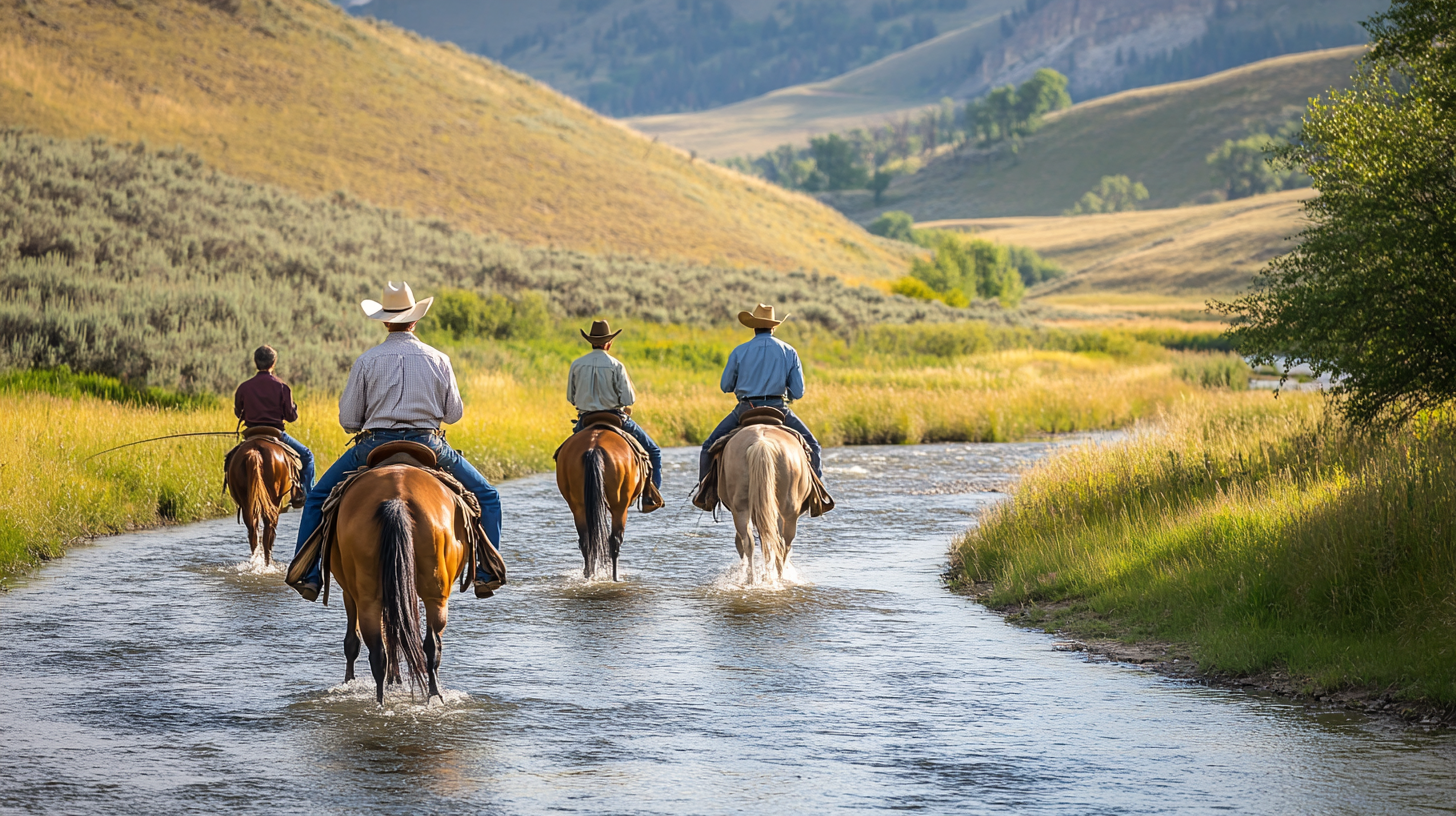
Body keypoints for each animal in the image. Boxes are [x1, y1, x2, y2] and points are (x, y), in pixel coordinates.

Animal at [222, 437, 294, 565]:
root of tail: (254, 452)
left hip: (247, 505)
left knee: (253, 532)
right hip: (273, 503)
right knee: (268, 534)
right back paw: (267, 563)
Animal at [330, 463, 465, 705]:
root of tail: (397, 498)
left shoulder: (351, 593)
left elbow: (356, 640)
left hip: (371, 597)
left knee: (380, 649)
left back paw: (383, 700)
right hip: (436, 596)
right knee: (430, 645)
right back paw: (432, 694)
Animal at [553, 428, 646, 579]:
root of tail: (594, 448)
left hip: (579, 507)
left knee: (587, 541)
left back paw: (589, 574)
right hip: (620, 507)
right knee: (615, 540)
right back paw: (614, 577)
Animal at [719, 428, 815, 579]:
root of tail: (761, 443)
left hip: (741, 508)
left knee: (750, 542)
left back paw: (752, 579)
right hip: (789, 513)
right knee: (783, 543)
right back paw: (779, 576)